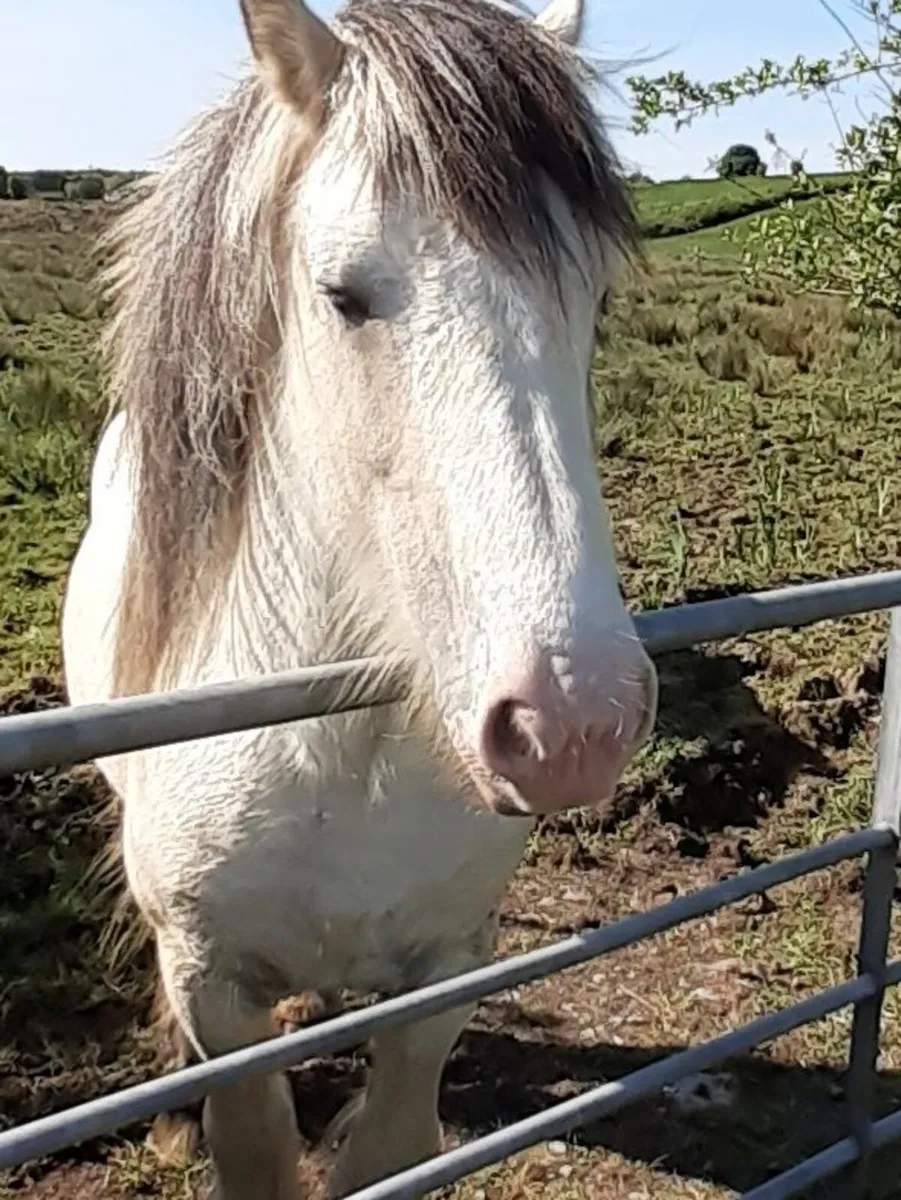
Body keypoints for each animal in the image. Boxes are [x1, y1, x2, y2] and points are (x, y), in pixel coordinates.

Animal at [60, 0, 658, 1195]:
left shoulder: (446, 967)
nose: (572, 724)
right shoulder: (211, 983)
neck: (333, 746)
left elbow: (386, 1149)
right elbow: (251, 1141)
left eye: (598, 299)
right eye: (343, 297)